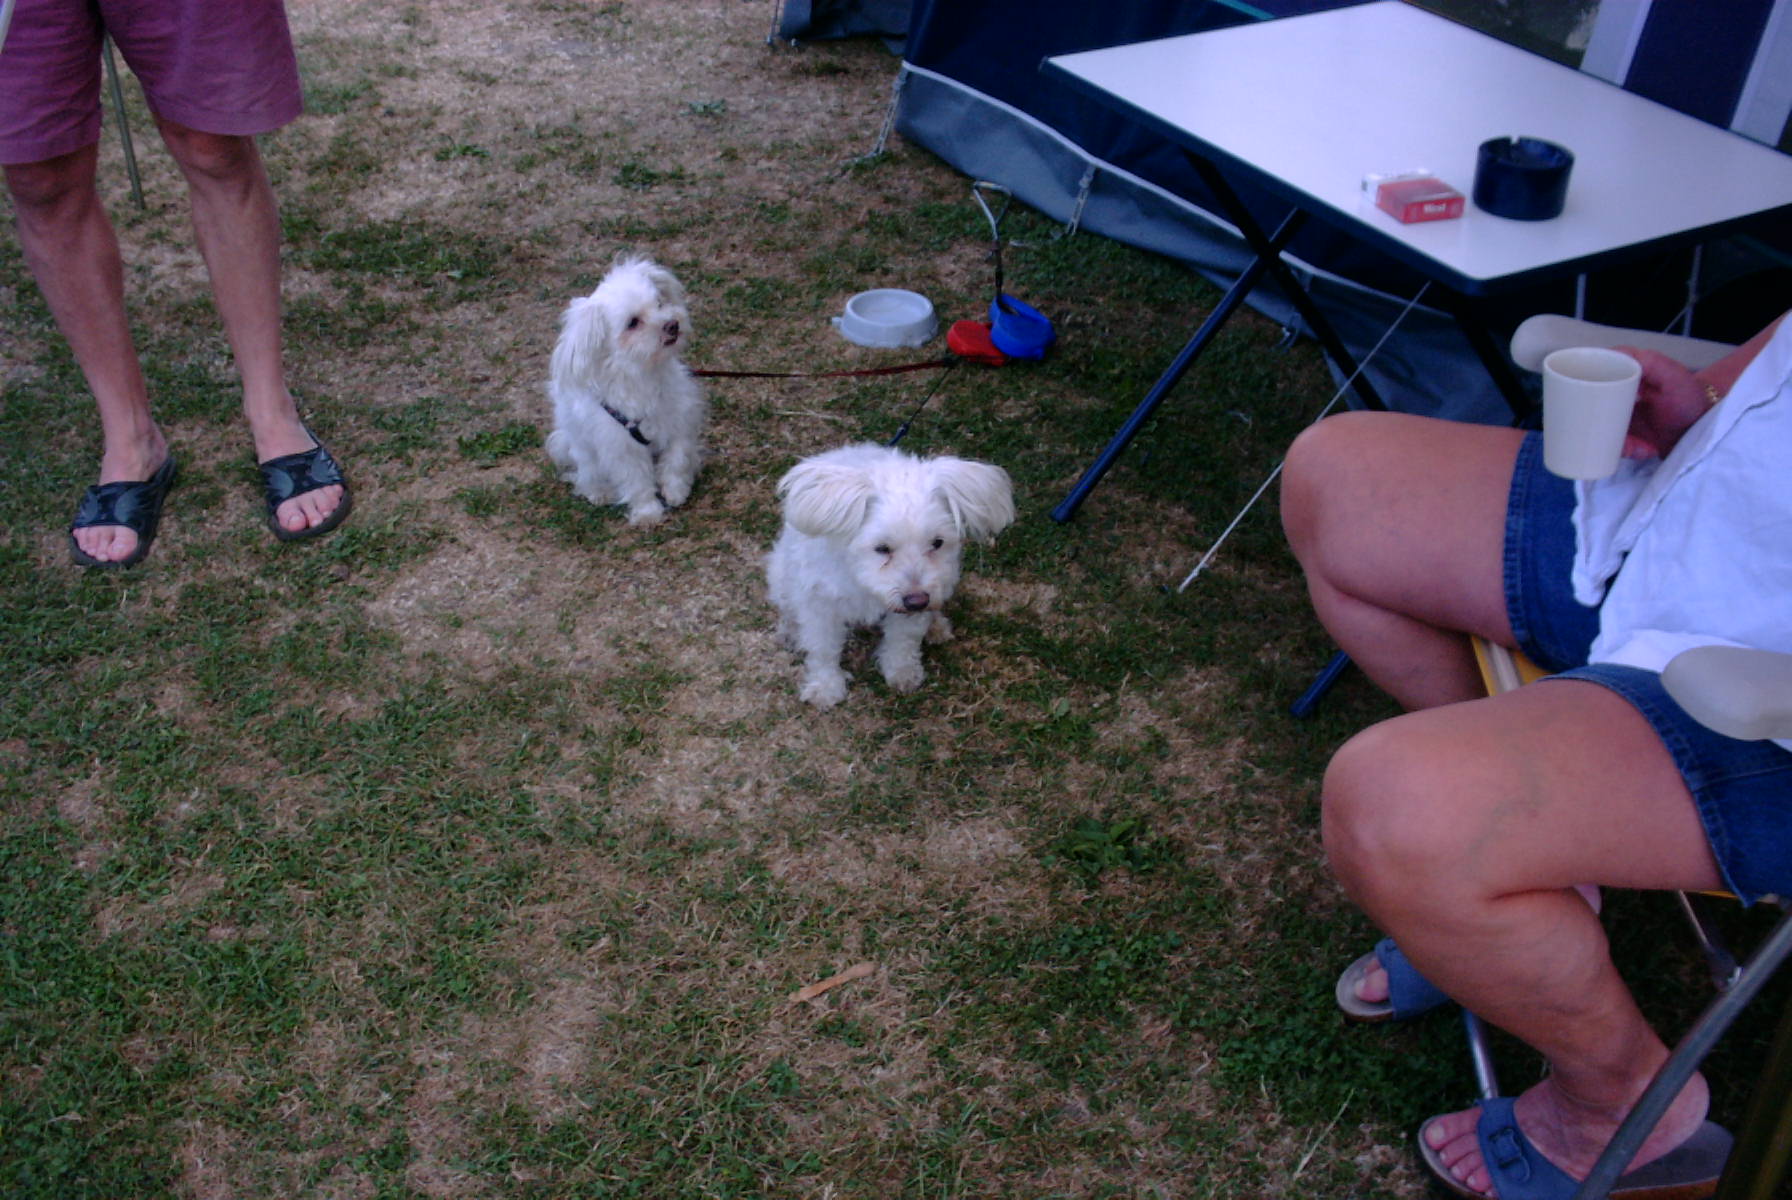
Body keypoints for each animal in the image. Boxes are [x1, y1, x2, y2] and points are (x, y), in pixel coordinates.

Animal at [545, 256, 705, 525]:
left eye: (660, 303)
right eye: (633, 323)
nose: (672, 325)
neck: (642, 373)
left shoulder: (678, 419)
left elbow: (677, 457)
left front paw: (675, 490)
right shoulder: (621, 447)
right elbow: (637, 481)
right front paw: (648, 513)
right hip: (583, 451)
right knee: (588, 474)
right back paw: (598, 493)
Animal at [766, 443, 1015, 707]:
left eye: (938, 542)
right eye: (882, 548)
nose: (917, 602)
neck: (860, 579)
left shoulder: (916, 602)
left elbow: (903, 639)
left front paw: (902, 672)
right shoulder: (820, 605)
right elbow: (822, 648)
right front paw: (825, 687)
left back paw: (936, 625)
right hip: (780, 577)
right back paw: (789, 632)